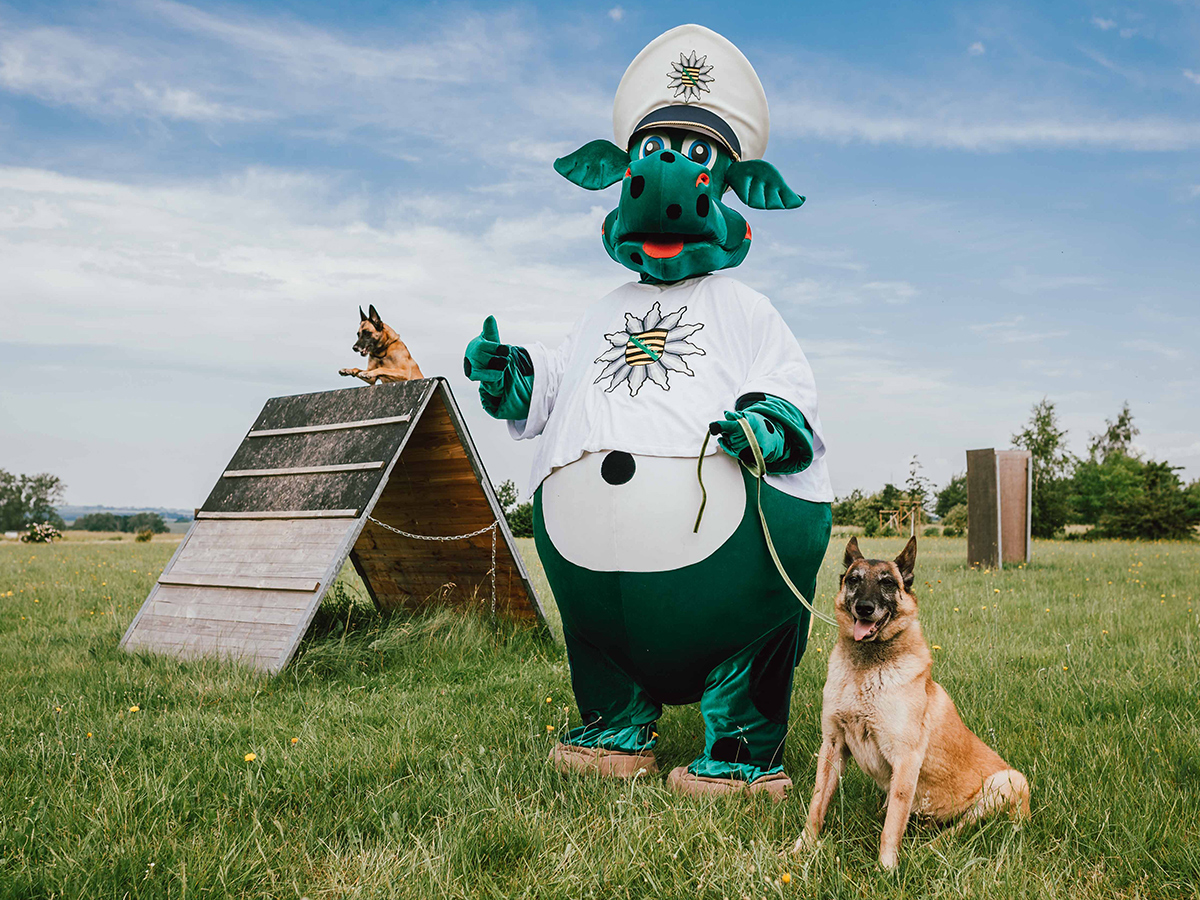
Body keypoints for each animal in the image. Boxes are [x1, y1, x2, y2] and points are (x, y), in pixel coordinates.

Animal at [796, 540, 1032, 868]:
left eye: (887, 583)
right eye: (854, 579)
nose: (864, 608)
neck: (866, 669)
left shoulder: (905, 758)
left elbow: (893, 824)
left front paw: (887, 868)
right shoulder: (832, 746)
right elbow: (816, 804)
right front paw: (799, 849)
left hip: (1008, 782)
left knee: (957, 831)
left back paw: (927, 850)